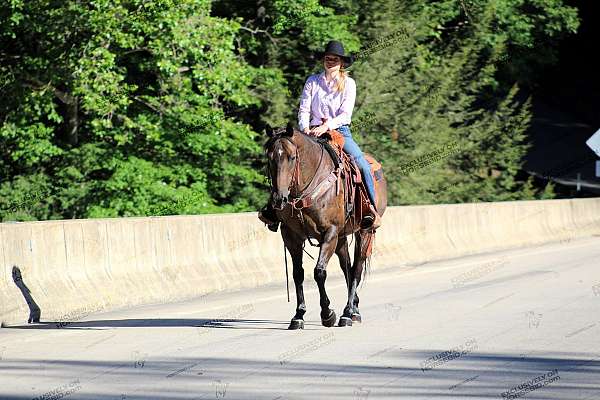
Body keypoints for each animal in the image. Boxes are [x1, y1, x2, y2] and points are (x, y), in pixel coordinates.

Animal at [264, 124, 390, 328]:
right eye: (269, 157)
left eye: (292, 157)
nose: (279, 199)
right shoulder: (290, 235)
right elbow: (298, 273)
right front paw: (298, 315)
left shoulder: (329, 232)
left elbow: (319, 272)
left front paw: (327, 313)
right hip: (342, 238)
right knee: (347, 267)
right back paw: (354, 309)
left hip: (364, 231)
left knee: (356, 269)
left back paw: (348, 313)